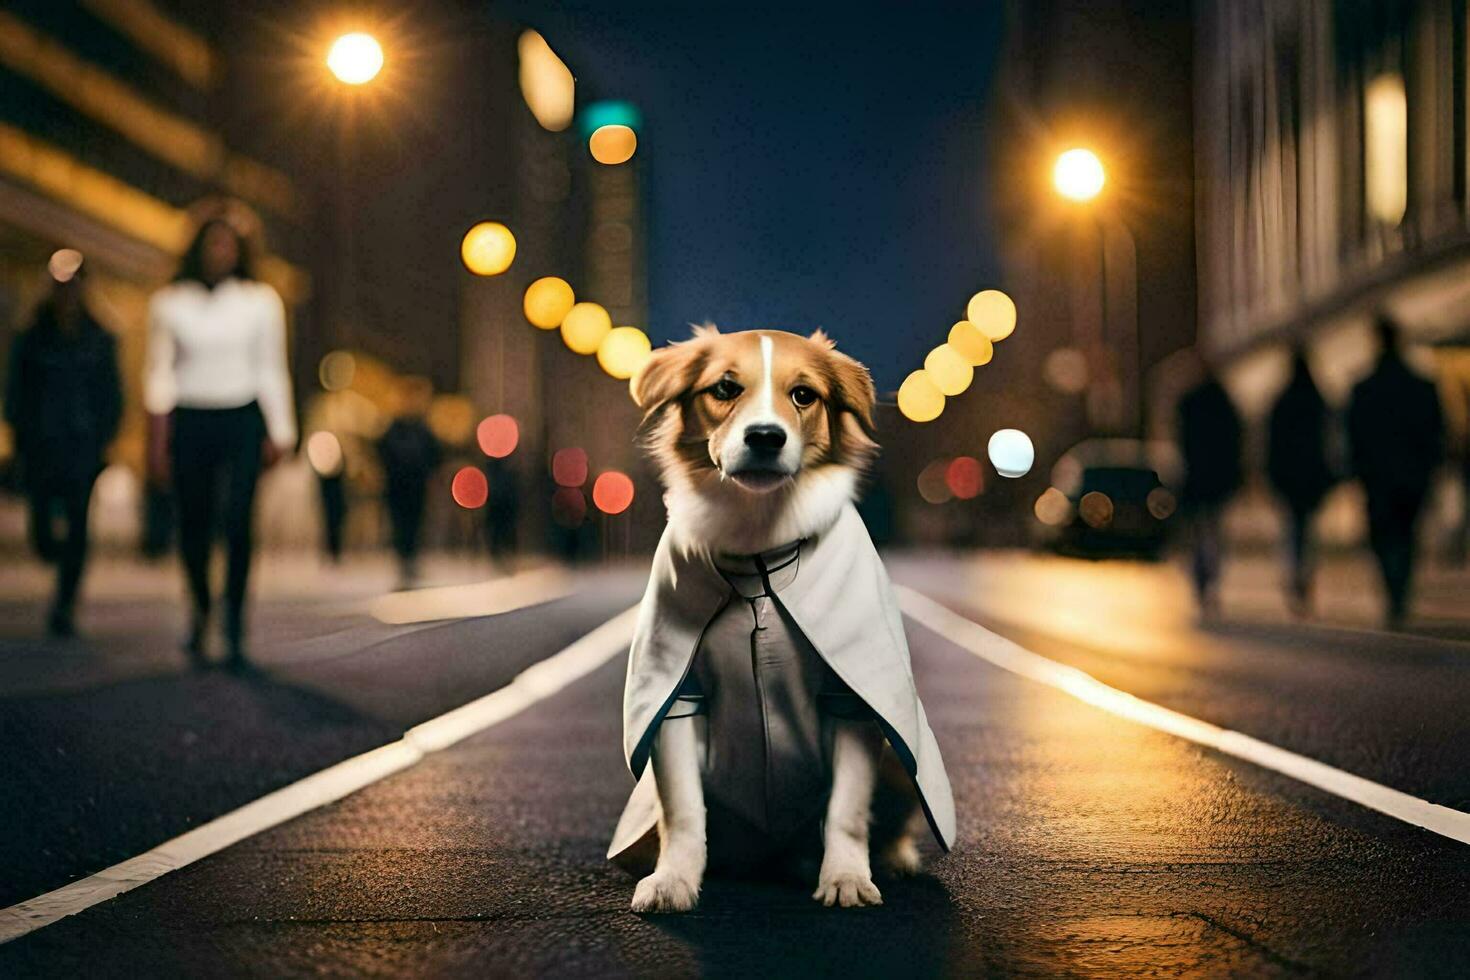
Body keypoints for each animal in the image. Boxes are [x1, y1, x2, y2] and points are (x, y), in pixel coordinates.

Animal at [605, 327, 958, 910]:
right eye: (725, 388)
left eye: (804, 395)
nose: (766, 437)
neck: (758, 547)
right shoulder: (678, 696)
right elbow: (682, 809)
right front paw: (674, 880)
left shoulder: (851, 698)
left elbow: (847, 809)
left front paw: (846, 877)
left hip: (898, 765)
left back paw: (890, 859)